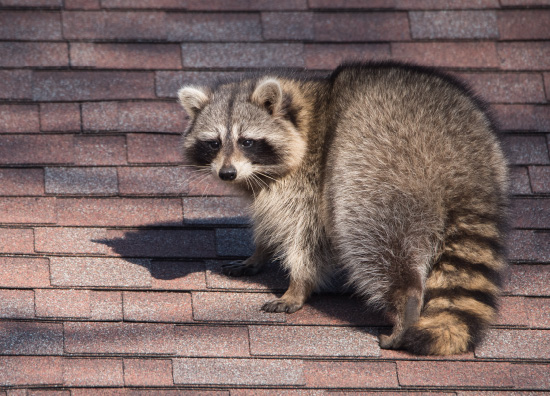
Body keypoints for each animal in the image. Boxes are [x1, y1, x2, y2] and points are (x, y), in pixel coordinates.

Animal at [179, 62, 512, 356]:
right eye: (214, 143)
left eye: (246, 141)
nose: (227, 173)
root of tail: (462, 162)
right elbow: (270, 220)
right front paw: (260, 252)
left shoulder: (310, 179)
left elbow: (307, 235)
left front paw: (298, 285)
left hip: (379, 168)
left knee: (372, 236)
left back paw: (406, 300)